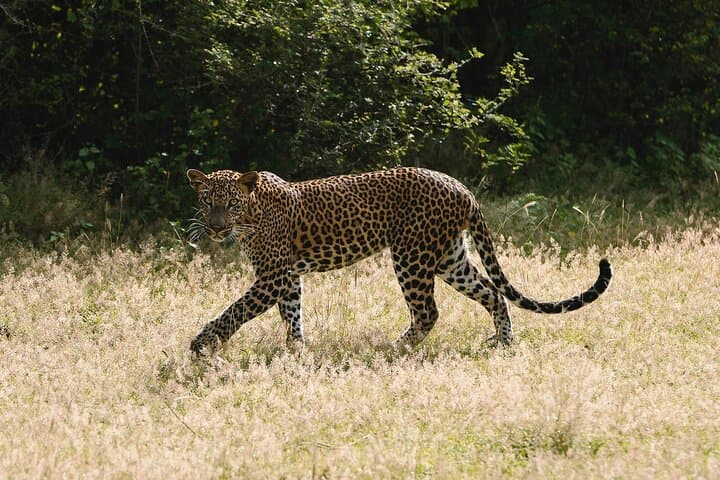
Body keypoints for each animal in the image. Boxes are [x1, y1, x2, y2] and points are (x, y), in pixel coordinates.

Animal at [186, 167, 612, 355]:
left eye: (231, 203)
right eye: (207, 202)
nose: (215, 227)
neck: (252, 215)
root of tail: (463, 189)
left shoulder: (273, 276)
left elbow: (236, 310)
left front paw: (204, 343)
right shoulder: (287, 277)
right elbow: (292, 315)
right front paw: (296, 352)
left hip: (411, 256)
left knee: (428, 311)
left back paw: (393, 348)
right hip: (450, 259)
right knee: (493, 293)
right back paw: (502, 342)